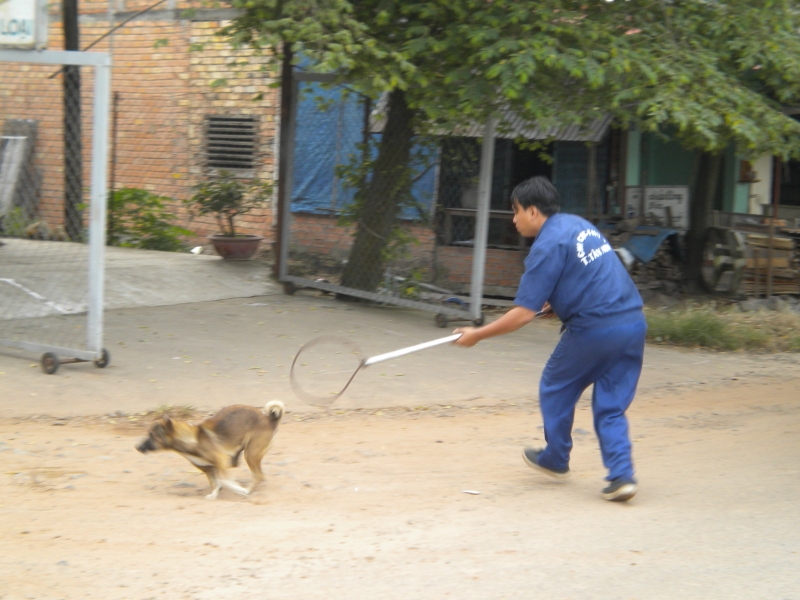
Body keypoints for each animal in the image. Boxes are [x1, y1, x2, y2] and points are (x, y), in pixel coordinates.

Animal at [137, 404, 284, 496]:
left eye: (151, 435)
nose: (137, 447)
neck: (192, 440)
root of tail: (269, 419)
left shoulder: (223, 462)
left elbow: (225, 481)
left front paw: (238, 489)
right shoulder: (209, 469)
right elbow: (215, 483)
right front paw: (214, 495)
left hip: (250, 454)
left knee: (259, 475)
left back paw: (247, 490)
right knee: (259, 475)